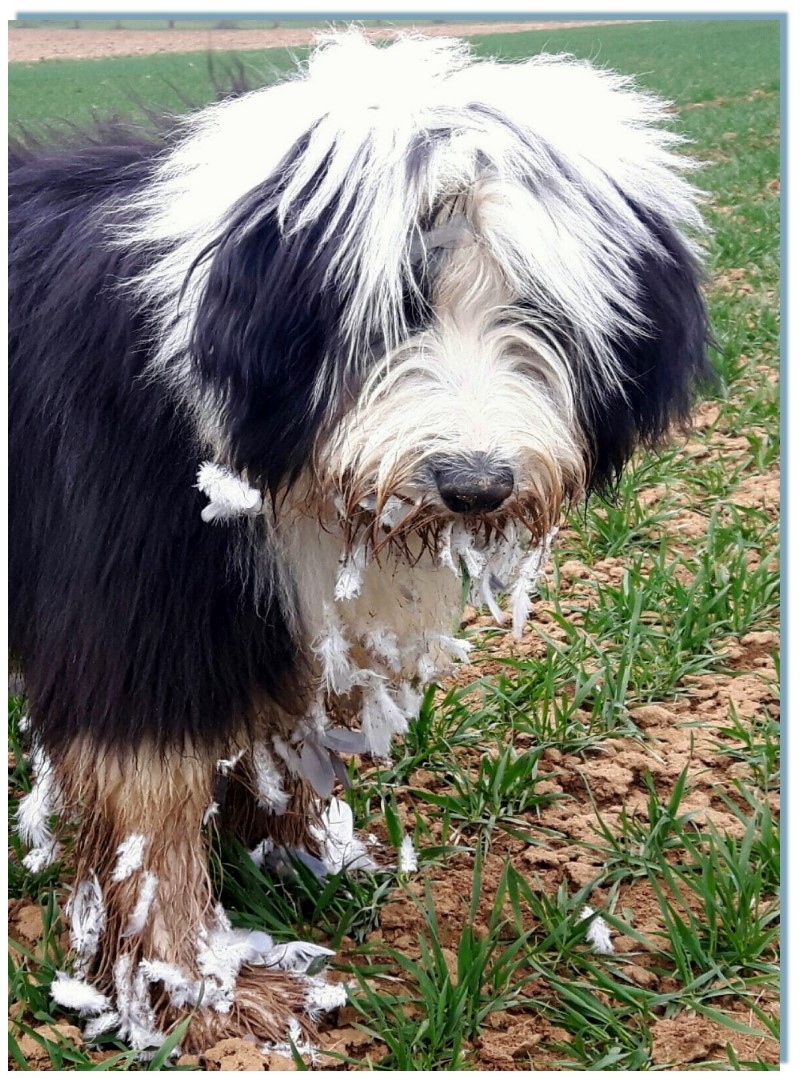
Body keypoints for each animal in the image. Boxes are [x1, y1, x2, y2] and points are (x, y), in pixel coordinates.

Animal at [10, 31, 712, 1053]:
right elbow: (152, 805)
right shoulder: (137, 606)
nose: (474, 482)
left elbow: (296, 729)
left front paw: (309, 853)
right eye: (399, 307)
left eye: (539, 308)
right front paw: (200, 986)